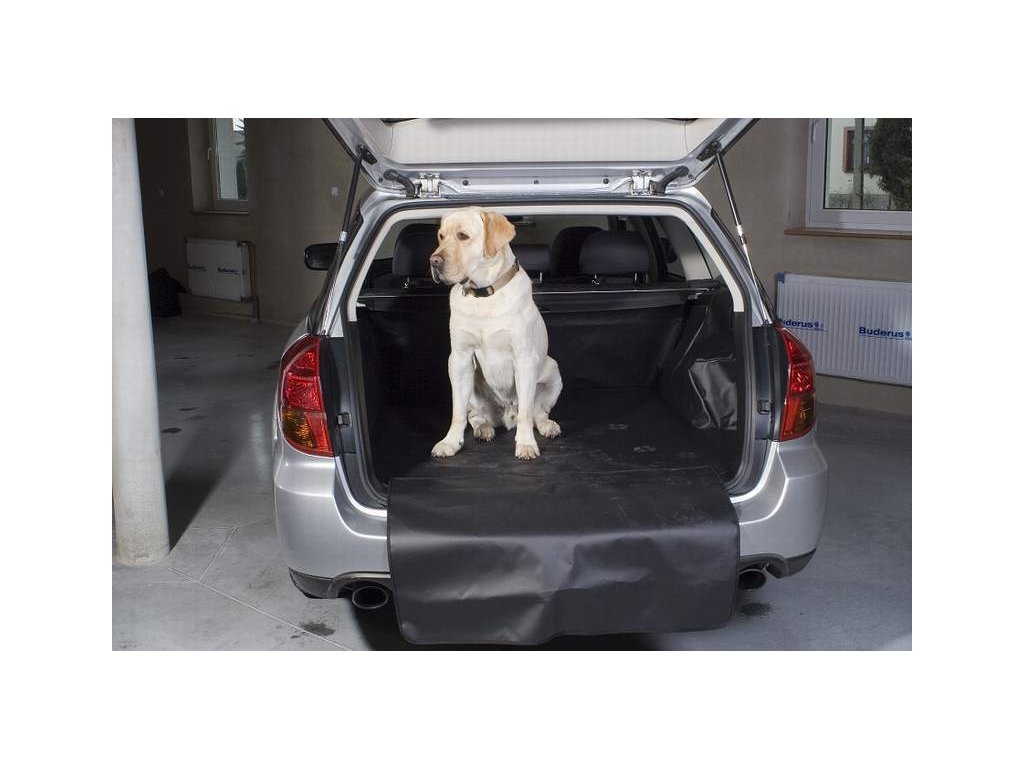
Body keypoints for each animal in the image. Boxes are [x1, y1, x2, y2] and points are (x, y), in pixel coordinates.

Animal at [428, 207, 562, 460]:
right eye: (441, 236)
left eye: (462, 236)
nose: (433, 262)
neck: (483, 295)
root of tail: (505, 418)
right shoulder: (459, 359)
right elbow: (457, 412)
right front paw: (450, 442)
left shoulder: (524, 359)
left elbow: (527, 413)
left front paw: (526, 444)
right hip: (470, 384)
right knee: (474, 415)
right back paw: (484, 428)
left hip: (552, 371)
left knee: (537, 412)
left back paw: (547, 426)